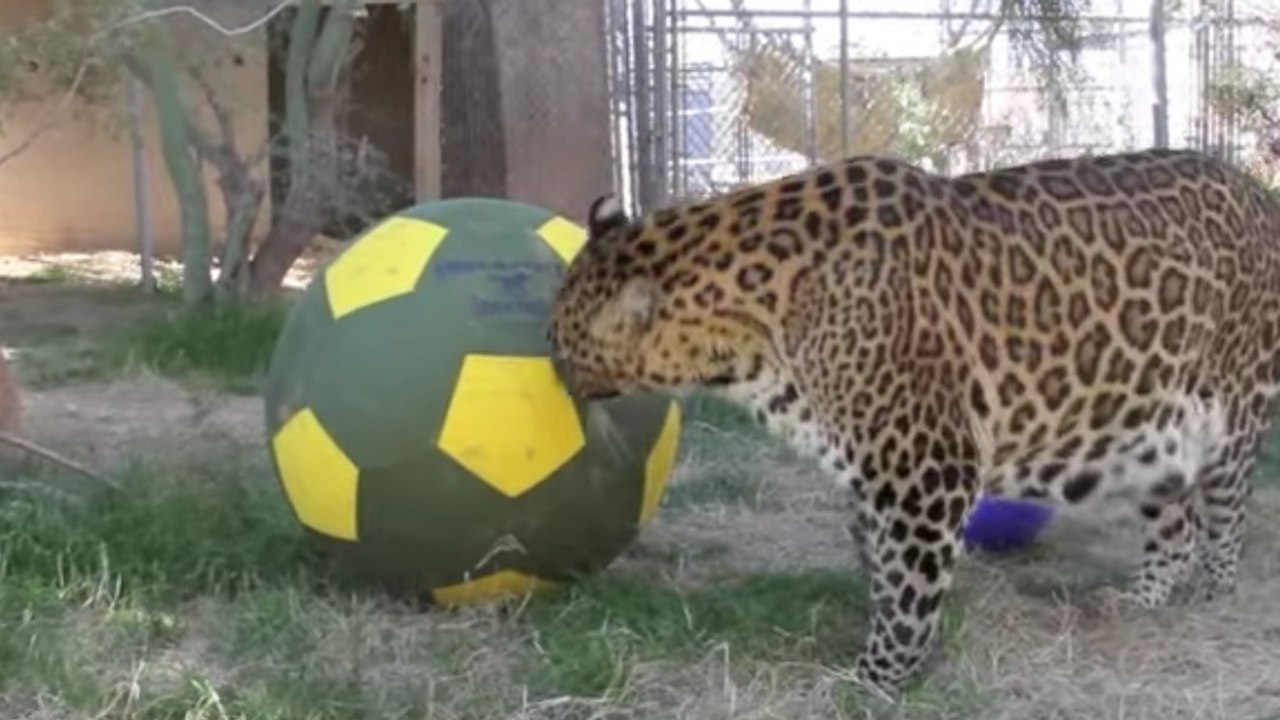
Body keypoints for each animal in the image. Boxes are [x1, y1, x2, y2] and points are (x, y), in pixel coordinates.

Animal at [545, 147, 1280, 696]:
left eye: (559, 338)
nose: (549, 369)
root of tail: (1252, 189)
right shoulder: (870, 470)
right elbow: (880, 564)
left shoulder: (927, 471)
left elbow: (906, 586)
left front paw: (873, 679)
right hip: (1157, 424)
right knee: (1175, 519)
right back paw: (1143, 598)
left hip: (1231, 411)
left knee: (1224, 513)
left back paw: (1211, 595)